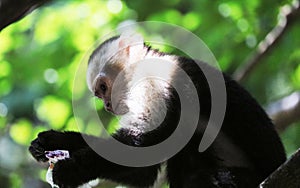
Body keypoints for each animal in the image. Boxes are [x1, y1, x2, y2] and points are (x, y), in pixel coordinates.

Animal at [29, 33, 286, 187]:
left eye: (103, 88)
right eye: (99, 94)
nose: (108, 106)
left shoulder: (156, 82)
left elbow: (142, 145)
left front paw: (71, 170)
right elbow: (143, 171)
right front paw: (54, 141)